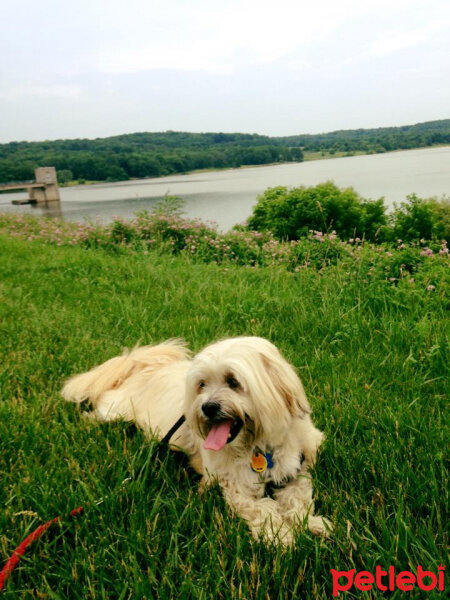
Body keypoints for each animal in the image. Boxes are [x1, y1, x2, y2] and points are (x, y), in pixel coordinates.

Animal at [62, 338, 330, 544]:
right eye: (202, 385)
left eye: (233, 381)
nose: (207, 407)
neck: (258, 446)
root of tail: (141, 365)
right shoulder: (234, 487)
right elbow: (262, 509)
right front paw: (280, 536)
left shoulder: (296, 470)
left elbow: (299, 500)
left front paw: (311, 524)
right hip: (116, 409)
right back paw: (87, 420)